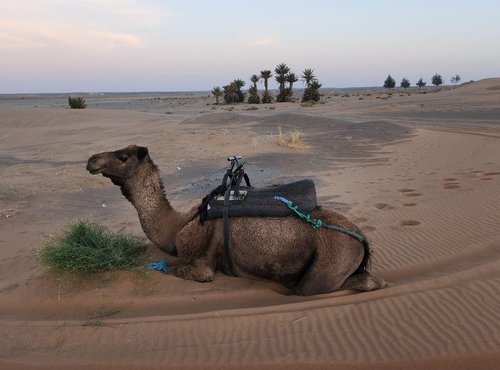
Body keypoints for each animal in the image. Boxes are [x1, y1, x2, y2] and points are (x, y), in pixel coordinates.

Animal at [87, 145, 386, 294]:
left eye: (123, 156)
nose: (91, 160)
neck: (179, 225)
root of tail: (362, 237)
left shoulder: (202, 262)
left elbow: (179, 270)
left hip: (330, 262)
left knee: (318, 286)